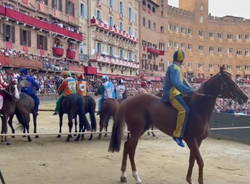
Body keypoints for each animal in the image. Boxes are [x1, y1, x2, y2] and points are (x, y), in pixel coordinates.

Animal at [109, 67, 248, 184]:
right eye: (230, 82)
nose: (245, 97)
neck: (197, 108)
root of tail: (129, 100)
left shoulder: (198, 141)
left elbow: (192, 160)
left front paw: (189, 180)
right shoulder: (191, 140)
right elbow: (200, 161)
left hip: (138, 130)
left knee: (127, 146)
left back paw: (123, 175)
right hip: (137, 130)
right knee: (131, 149)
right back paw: (136, 176)